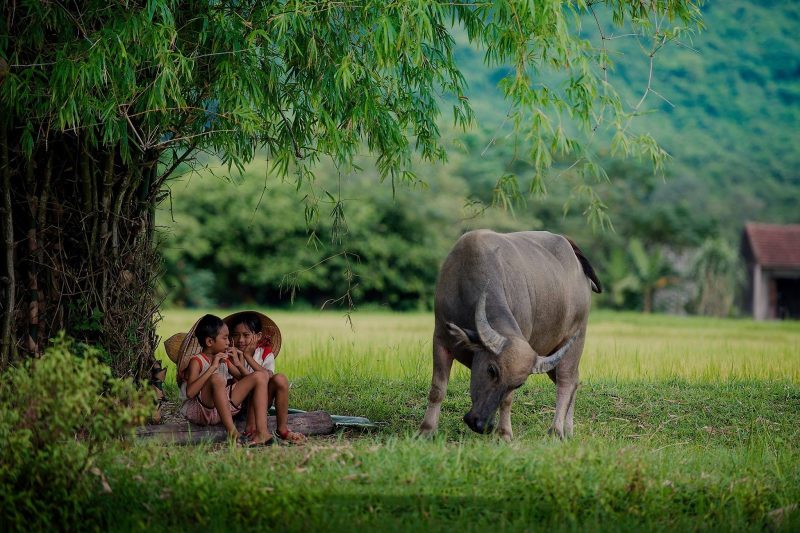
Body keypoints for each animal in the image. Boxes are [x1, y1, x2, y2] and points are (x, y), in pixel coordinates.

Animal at [418, 231, 600, 438]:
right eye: (491, 370)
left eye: (518, 384)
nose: (481, 425)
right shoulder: (440, 339)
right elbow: (437, 389)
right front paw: (426, 430)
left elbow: (507, 400)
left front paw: (504, 433)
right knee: (575, 380)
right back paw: (568, 430)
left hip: (576, 339)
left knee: (566, 381)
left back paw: (556, 430)